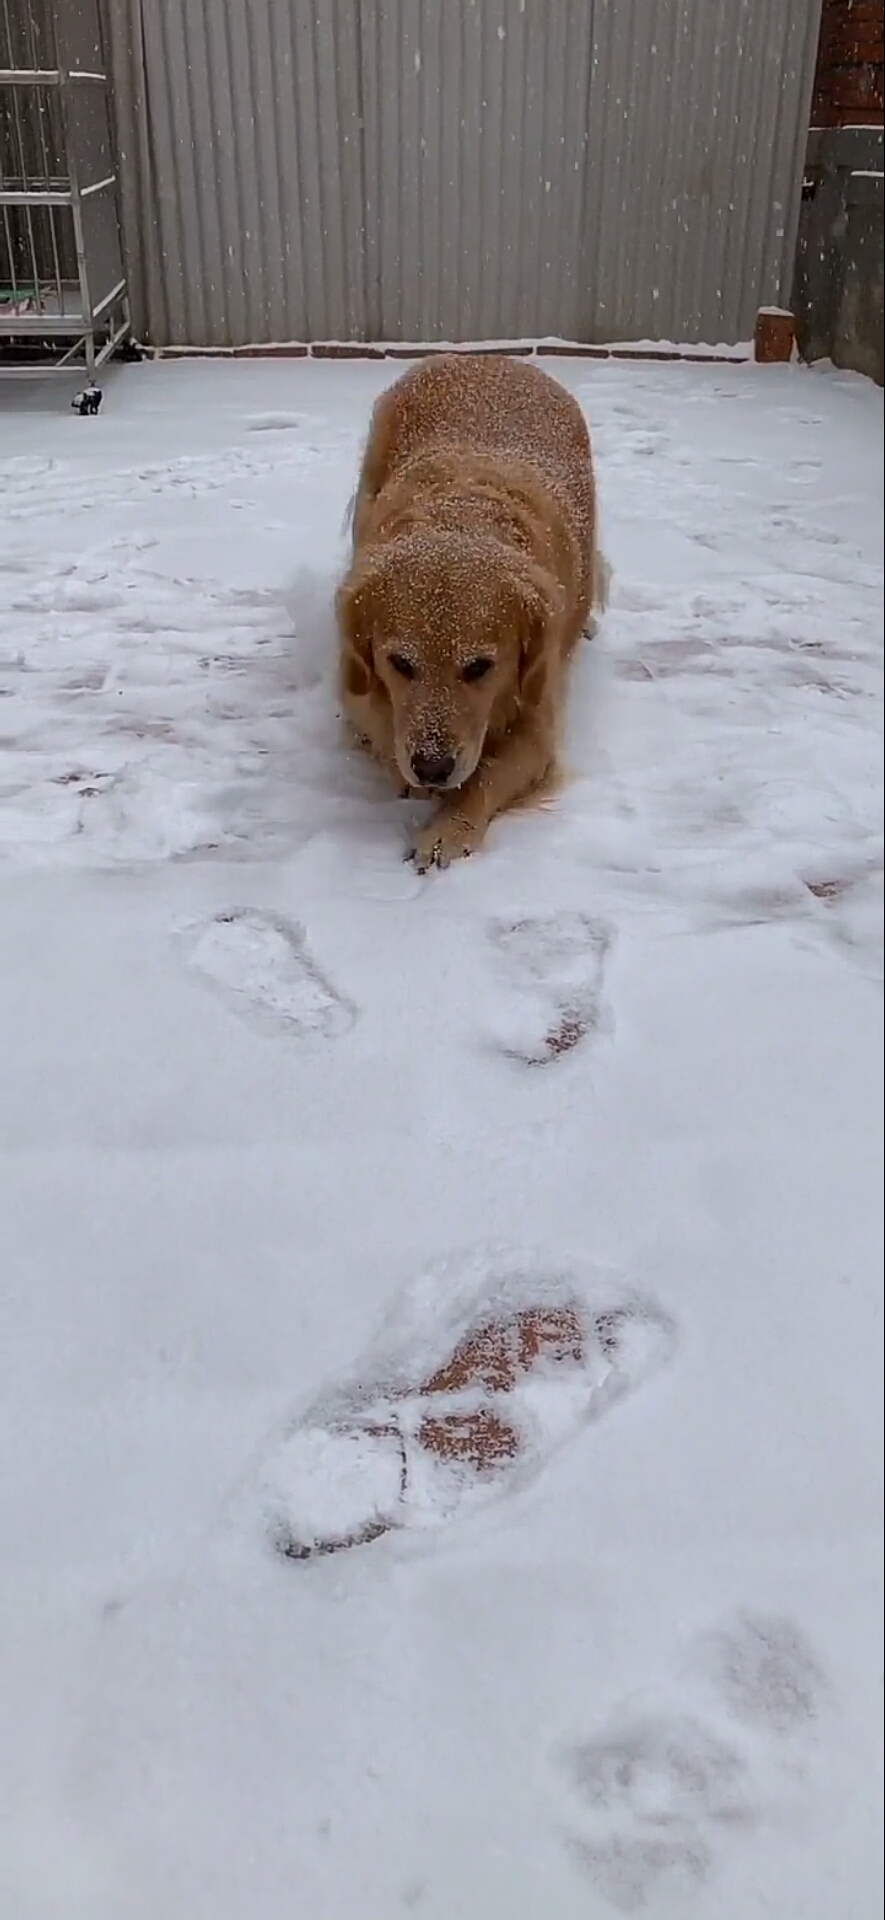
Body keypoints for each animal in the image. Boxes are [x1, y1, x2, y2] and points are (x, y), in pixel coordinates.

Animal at [334, 353, 602, 871]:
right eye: (399, 663)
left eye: (480, 667)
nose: (432, 767)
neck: (461, 518)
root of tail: (490, 357)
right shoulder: (354, 687)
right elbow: (377, 723)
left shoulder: (539, 718)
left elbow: (487, 776)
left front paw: (447, 829)